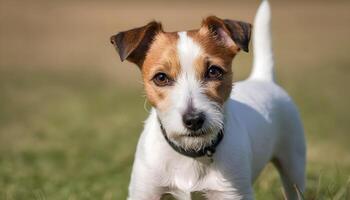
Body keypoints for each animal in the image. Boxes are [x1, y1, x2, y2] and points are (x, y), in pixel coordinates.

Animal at [110, 0, 304, 199]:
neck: (191, 153)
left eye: (213, 71)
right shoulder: (145, 192)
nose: (194, 120)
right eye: (161, 77)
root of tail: (262, 78)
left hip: (293, 167)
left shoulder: (231, 193)